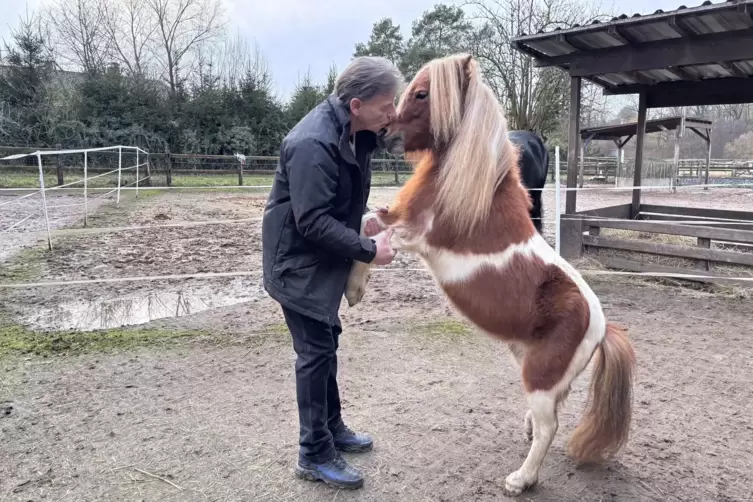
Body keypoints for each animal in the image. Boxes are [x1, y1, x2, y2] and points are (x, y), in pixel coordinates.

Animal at [347, 54, 635, 496]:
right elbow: (366, 223)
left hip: (540, 379)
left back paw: (520, 480)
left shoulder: (419, 236)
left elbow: (373, 236)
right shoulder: (403, 223)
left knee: (550, 427)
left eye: (423, 94)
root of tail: (603, 327)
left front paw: (353, 288)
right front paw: (354, 289)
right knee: (548, 419)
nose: (384, 135)